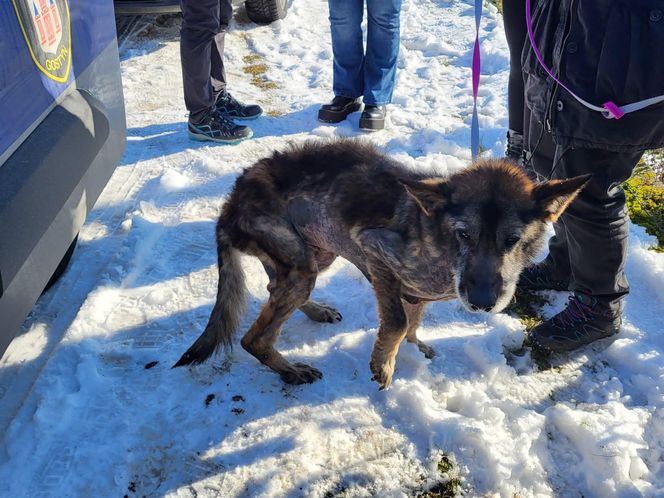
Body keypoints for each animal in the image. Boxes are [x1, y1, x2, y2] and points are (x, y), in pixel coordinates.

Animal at [174, 140, 588, 390]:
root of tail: (230, 205)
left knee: (273, 290)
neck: (434, 238)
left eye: (512, 240)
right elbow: (399, 321)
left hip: (312, 256)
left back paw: (316, 312)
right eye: (464, 234)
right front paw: (383, 364)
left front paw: (415, 347)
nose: (483, 303)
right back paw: (291, 370)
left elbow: (414, 322)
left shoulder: (415, 291)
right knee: (253, 338)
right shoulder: (374, 254)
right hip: (302, 265)